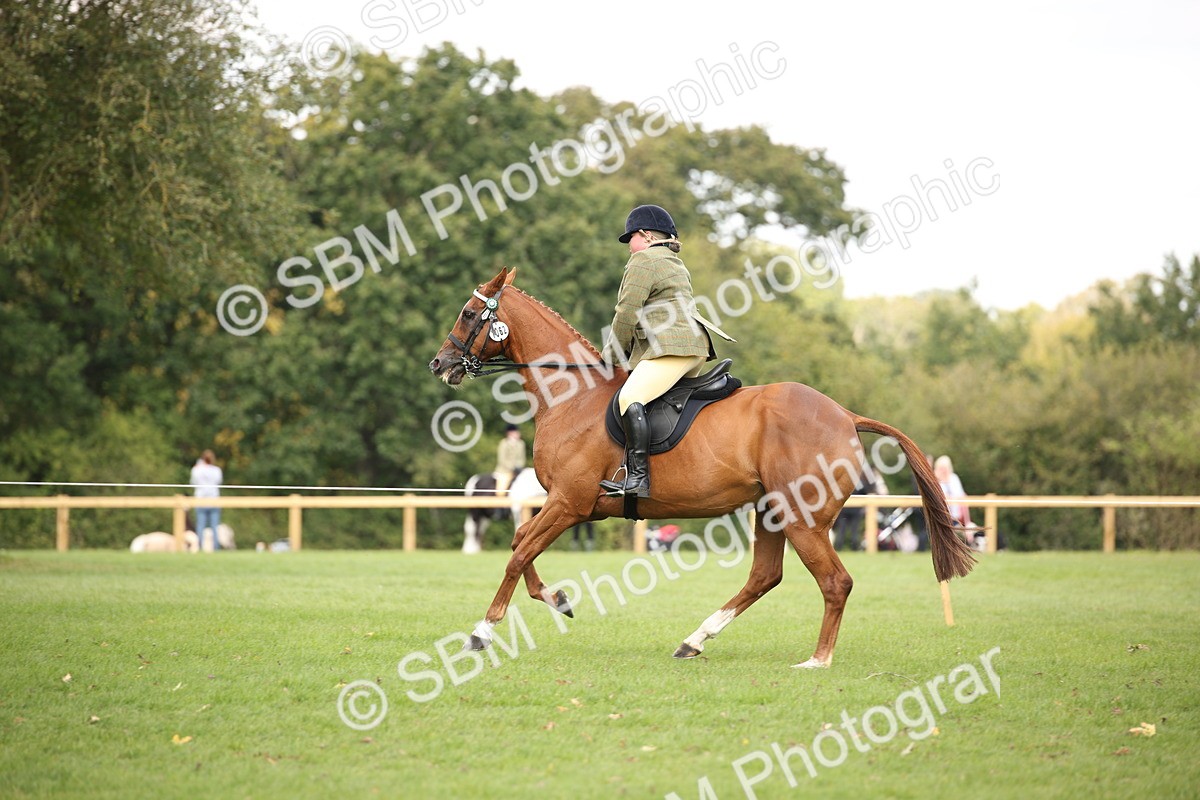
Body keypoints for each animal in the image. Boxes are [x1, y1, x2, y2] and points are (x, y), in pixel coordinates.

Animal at [428, 268, 975, 668]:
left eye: (469, 313)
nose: (440, 364)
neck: (571, 395)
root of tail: (845, 414)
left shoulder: (569, 502)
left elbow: (518, 553)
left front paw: (481, 632)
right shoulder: (568, 505)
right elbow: (521, 545)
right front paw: (558, 598)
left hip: (802, 519)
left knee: (834, 582)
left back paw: (817, 661)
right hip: (771, 511)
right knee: (764, 577)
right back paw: (695, 640)